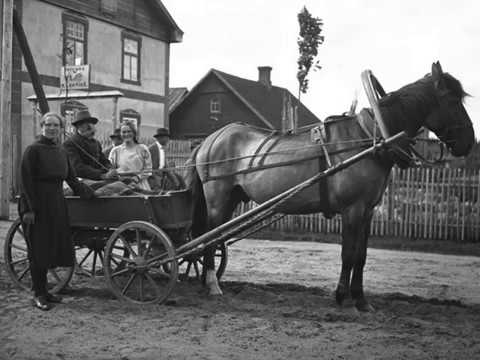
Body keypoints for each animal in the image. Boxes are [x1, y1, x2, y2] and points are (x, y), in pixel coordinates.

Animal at [186, 62, 474, 312]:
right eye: (452, 100)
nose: (469, 142)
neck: (370, 139)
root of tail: (210, 139)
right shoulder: (352, 209)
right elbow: (348, 254)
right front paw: (341, 296)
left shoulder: (368, 211)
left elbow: (361, 256)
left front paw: (361, 300)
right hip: (217, 198)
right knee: (209, 237)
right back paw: (212, 284)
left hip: (232, 198)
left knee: (214, 238)